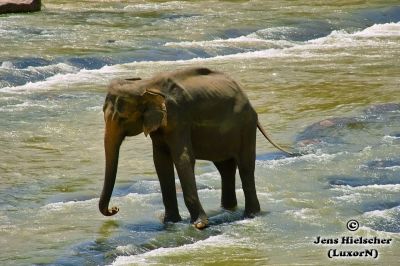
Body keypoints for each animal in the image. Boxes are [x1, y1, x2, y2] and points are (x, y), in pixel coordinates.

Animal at [100, 66, 294, 229]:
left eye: (122, 118)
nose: (115, 209)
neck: (146, 85)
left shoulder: (179, 118)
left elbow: (183, 158)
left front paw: (199, 225)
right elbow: (160, 162)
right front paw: (169, 222)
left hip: (245, 125)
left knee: (245, 166)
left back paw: (250, 215)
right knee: (225, 167)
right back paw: (228, 209)